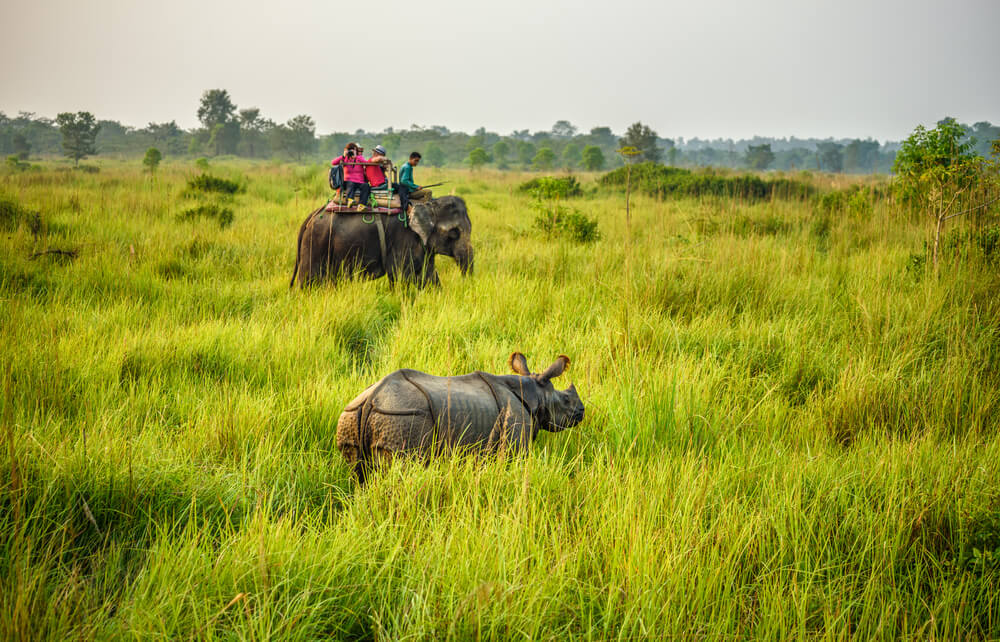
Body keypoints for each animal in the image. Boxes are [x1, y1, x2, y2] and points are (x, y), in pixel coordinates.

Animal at [289, 195, 474, 288]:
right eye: (454, 233)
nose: (466, 284)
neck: (428, 204)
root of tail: (312, 215)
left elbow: (429, 276)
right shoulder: (403, 239)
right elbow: (400, 276)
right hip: (316, 241)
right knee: (309, 279)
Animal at [336, 353, 585, 484]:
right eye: (566, 400)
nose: (582, 411)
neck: (535, 393)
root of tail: (372, 399)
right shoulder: (515, 434)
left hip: (353, 415)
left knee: (358, 474)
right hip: (403, 418)